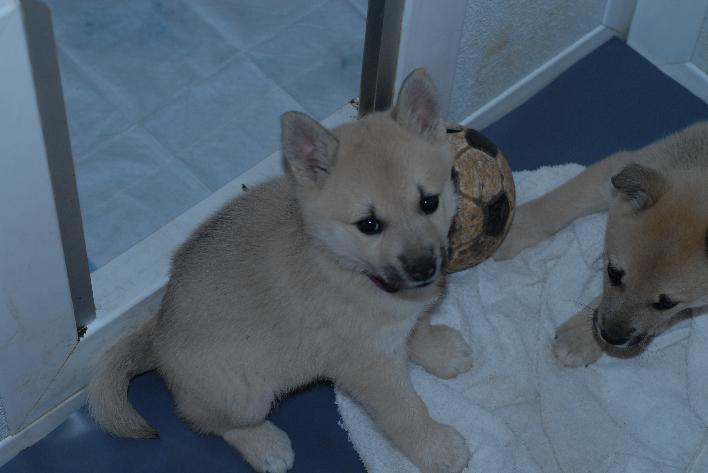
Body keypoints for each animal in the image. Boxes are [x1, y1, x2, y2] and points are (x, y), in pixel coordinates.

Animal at [90, 70, 476, 472]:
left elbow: (419, 327)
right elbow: (405, 411)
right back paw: (265, 445)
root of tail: (158, 336)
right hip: (246, 395)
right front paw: (436, 448)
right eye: (369, 225)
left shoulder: (402, 322)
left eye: (429, 202)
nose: (424, 269)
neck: (343, 265)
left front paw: (441, 352)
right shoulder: (369, 368)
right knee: (210, 422)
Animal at [496, 121, 708, 366]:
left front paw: (579, 338)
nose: (609, 336)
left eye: (667, 303)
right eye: (613, 273)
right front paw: (509, 230)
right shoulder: (610, 176)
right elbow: (557, 204)